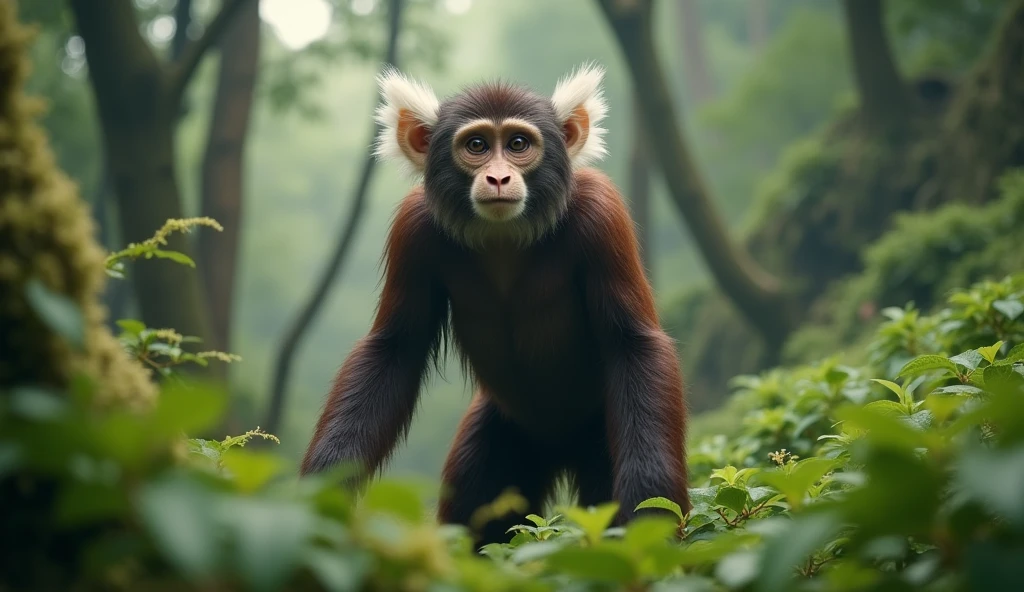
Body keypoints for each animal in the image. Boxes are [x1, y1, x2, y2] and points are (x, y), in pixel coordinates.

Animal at [301, 64, 688, 545]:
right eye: (477, 146)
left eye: (518, 144)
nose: (499, 178)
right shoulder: (413, 228)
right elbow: (393, 349)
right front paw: (320, 496)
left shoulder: (602, 213)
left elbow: (633, 343)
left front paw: (648, 513)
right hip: (499, 442)